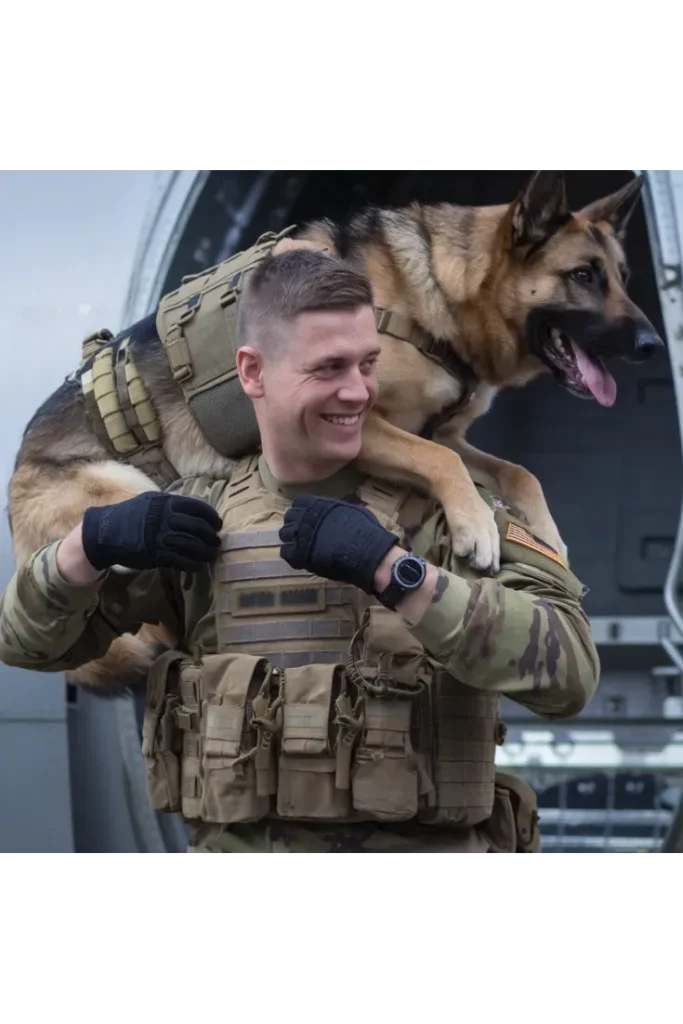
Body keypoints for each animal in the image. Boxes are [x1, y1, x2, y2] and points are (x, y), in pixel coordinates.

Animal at [7, 167, 663, 692]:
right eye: (583, 276)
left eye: (623, 275)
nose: (653, 345)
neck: (435, 290)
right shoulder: (370, 428)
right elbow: (443, 464)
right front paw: (476, 525)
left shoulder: (443, 431)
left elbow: (518, 472)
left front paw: (546, 534)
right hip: (127, 491)